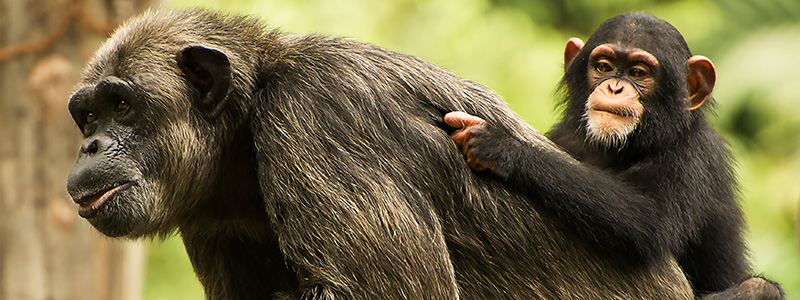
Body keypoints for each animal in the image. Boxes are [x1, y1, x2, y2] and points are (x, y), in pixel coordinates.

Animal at [67, 8, 692, 298]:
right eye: (89, 115)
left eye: (122, 105)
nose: (91, 143)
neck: (244, 131)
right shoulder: (210, 218)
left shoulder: (318, 117)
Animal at [446, 11, 784, 300]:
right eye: (604, 67)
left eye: (638, 72)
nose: (615, 87)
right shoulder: (564, 137)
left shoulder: (695, 156)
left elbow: (648, 218)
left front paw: (503, 147)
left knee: (758, 288)